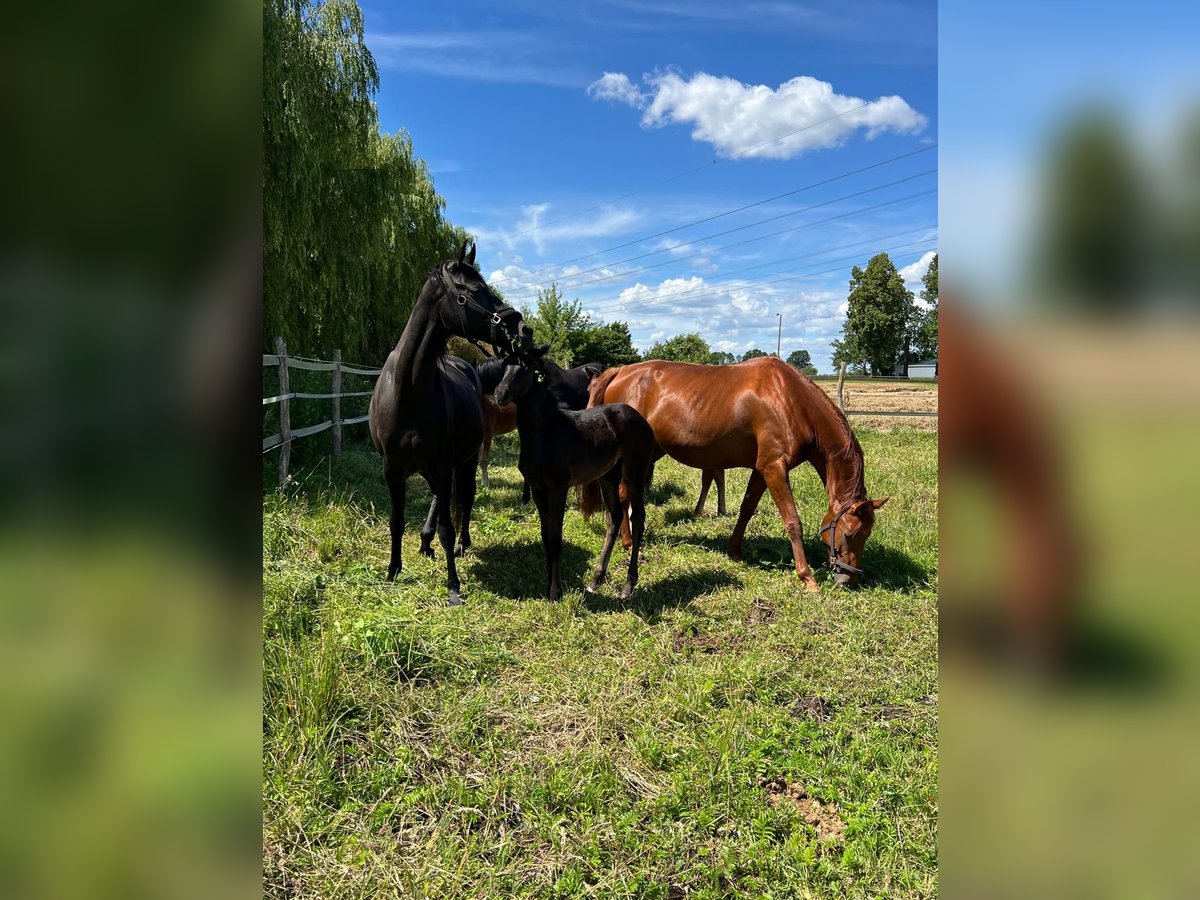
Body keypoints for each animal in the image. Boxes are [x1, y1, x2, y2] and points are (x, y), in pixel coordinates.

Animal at [367, 241, 532, 607]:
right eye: (471, 291)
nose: (522, 329)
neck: (408, 390)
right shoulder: (391, 469)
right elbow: (396, 522)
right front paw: (392, 573)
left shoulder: (442, 464)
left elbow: (448, 525)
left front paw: (453, 586)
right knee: (441, 499)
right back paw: (425, 541)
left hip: (464, 460)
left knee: (464, 499)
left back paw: (460, 544)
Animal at [492, 348, 657, 602]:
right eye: (505, 366)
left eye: (526, 368)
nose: (500, 394)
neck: (546, 433)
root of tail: (642, 420)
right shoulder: (538, 490)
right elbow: (546, 537)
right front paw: (549, 587)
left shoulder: (558, 489)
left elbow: (556, 539)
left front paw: (556, 592)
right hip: (607, 477)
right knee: (615, 517)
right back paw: (595, 581)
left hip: (633, 474)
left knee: (637, 518)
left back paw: (628, 586)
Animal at [585, 355, 888, 595]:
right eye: (850, 534)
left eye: (867, 534)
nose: (848, 577)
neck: (791, 400)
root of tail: (621, 372)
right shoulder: (774, 468)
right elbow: (793, 521)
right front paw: (807, 577)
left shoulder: (762, 469)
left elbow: (746, 508)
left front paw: (736, 550)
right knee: (623, 496)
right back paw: (627, 543)